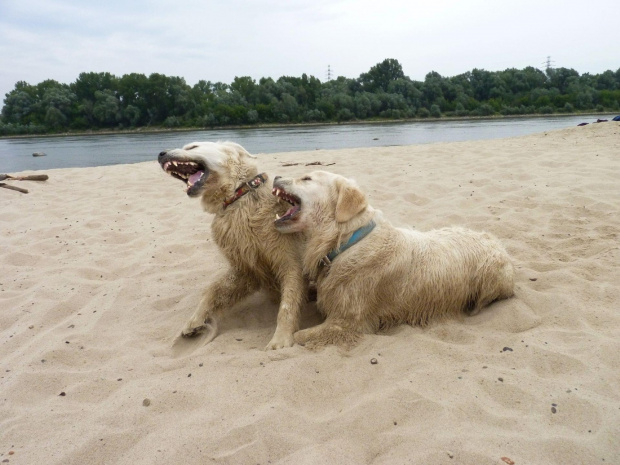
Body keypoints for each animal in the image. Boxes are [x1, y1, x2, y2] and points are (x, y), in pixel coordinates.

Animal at [157, 141, 306, 348]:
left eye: (192, 147)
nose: (160, 154)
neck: (239, 195)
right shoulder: (246, 268)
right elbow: (212, 290)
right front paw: (194, 321)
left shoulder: (290, 263)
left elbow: (288, 303)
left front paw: (281, 340)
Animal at [272, 169, 512, 344]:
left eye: (306, 178)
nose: (275, 176)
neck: (346, 241)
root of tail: (498, 243)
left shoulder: (348, 321)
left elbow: (299, 336)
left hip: (491, 273)